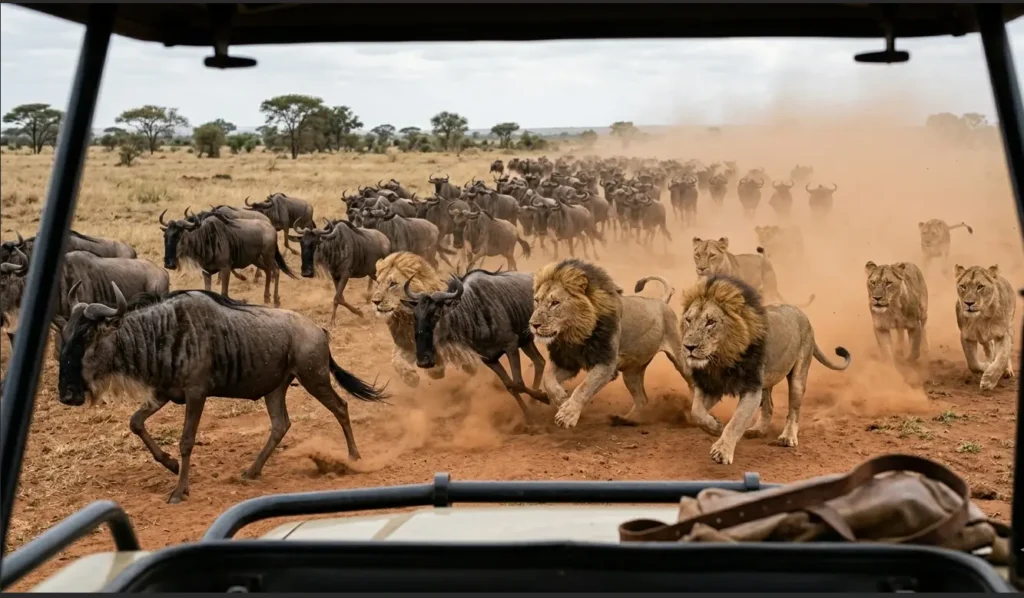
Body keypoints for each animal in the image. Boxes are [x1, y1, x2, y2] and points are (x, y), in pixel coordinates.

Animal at [370, 251, 477, 387]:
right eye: (378, 283)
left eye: (393, 284)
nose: (375, 301)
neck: (406, 317)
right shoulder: (406, 344)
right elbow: (395, 359)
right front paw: (410, 378)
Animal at [529, 259, 694, 429]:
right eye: (536, 300)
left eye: (555, 302)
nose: (533, 324)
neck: (576, 334)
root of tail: (661, 301)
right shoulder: (569, 362)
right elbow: (547, 378)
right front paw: (561, 398)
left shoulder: (607, 364)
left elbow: (584, 387)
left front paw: (567, 416)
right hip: (631, 372)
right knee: (642, 400)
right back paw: (625, 420)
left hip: (680, 356)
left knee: (692, 383)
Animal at [679, 274, 851, 465]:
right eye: (688, 320)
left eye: (711, 322)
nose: (688, 347)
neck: (721, 359)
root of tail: (802, 314)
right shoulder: (713, 386)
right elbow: (696, 411)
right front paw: (715, 426)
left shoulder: (751, 389)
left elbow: (736, 421)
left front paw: (722, 451)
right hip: (766, 382)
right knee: (769, 407)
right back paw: (757, 430)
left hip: (798, 377)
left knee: (794, 410)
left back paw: (788, 437)